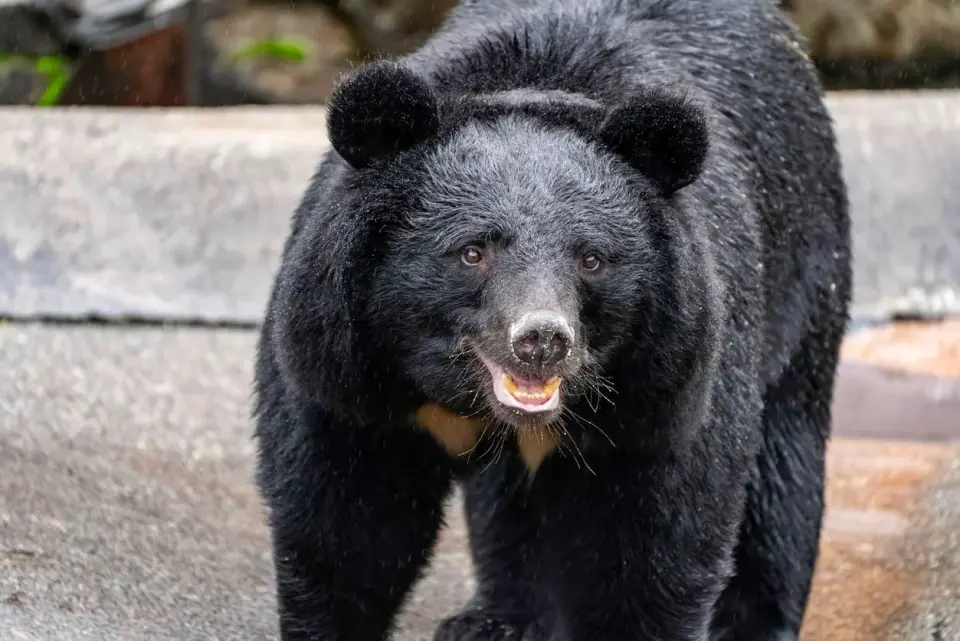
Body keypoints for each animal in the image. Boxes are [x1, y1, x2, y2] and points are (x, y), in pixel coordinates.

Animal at [252, 0, 852, 639]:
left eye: (591, 258)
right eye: (472, 252)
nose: (541, 339)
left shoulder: (668, 383)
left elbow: (655, 546)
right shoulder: (344, 361)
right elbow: (346, 527)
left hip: (805, 270)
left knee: (783, 466)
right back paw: (495, 620)